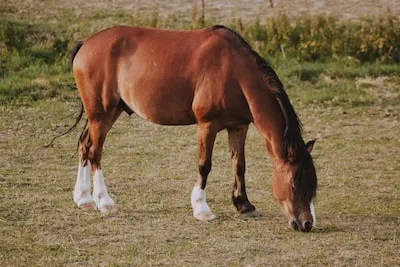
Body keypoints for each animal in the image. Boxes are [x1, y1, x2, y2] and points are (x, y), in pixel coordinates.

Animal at [70, 25, 318, 232]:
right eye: (295, 183)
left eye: (312, 184)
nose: (306, 223)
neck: (234, 71)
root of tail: (86, 42)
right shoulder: (207, 125)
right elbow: (204, 165)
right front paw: (201, 209)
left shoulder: (238, 126)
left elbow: (239, 165)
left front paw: (244, 205)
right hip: (101, 115)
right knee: (95, 153)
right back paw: (104, 202)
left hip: (107, 114)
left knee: (84, 146)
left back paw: (84, 199)